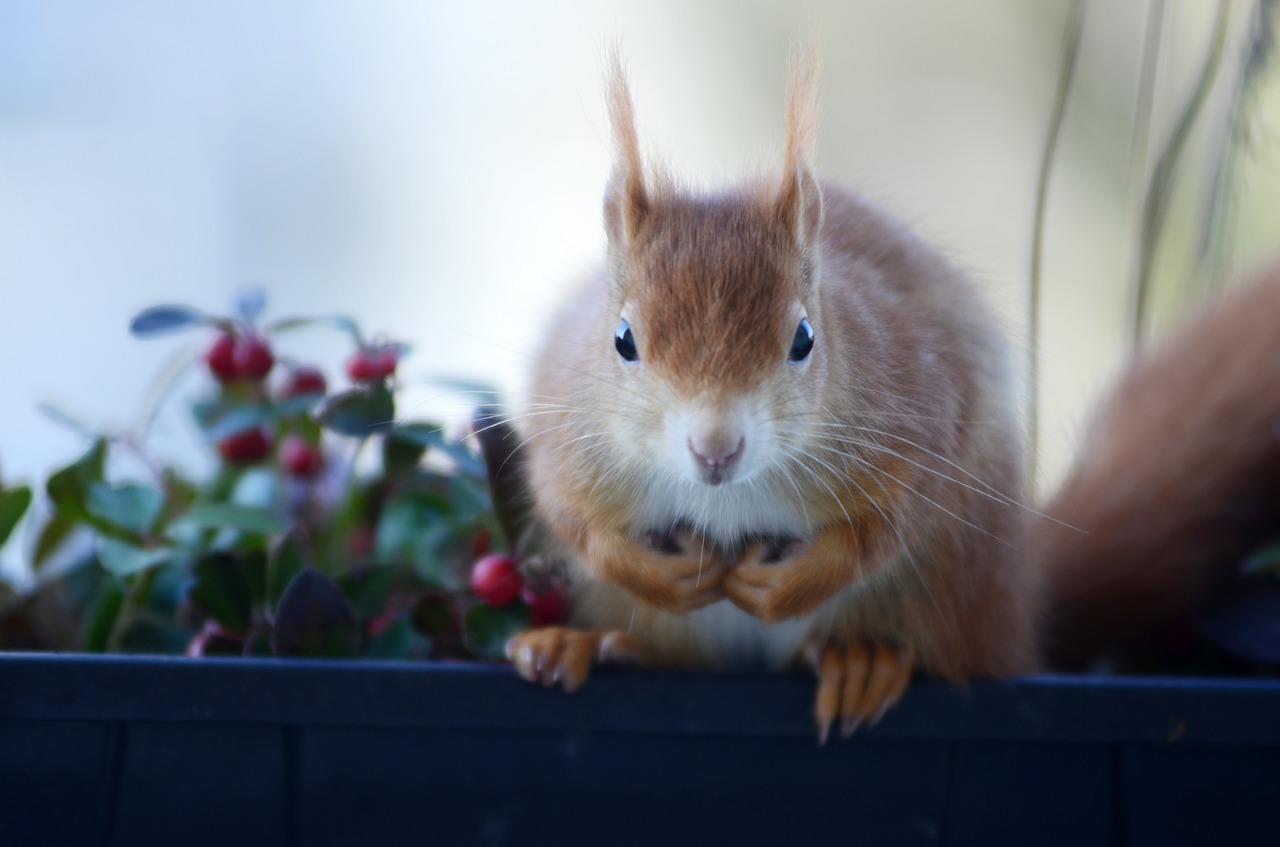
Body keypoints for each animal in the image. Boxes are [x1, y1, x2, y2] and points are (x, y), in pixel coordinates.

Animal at [501, 56, 1280, 742]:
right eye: (623, 339)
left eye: (804, 338)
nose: (715, 448)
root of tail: (1013, 614)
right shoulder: (568, 435)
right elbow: (571, 515)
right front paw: (652, 572)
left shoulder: (921, 414)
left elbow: (890, 524)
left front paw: (793, 585)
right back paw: (582, 645)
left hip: (950, 586)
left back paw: (860, 660)